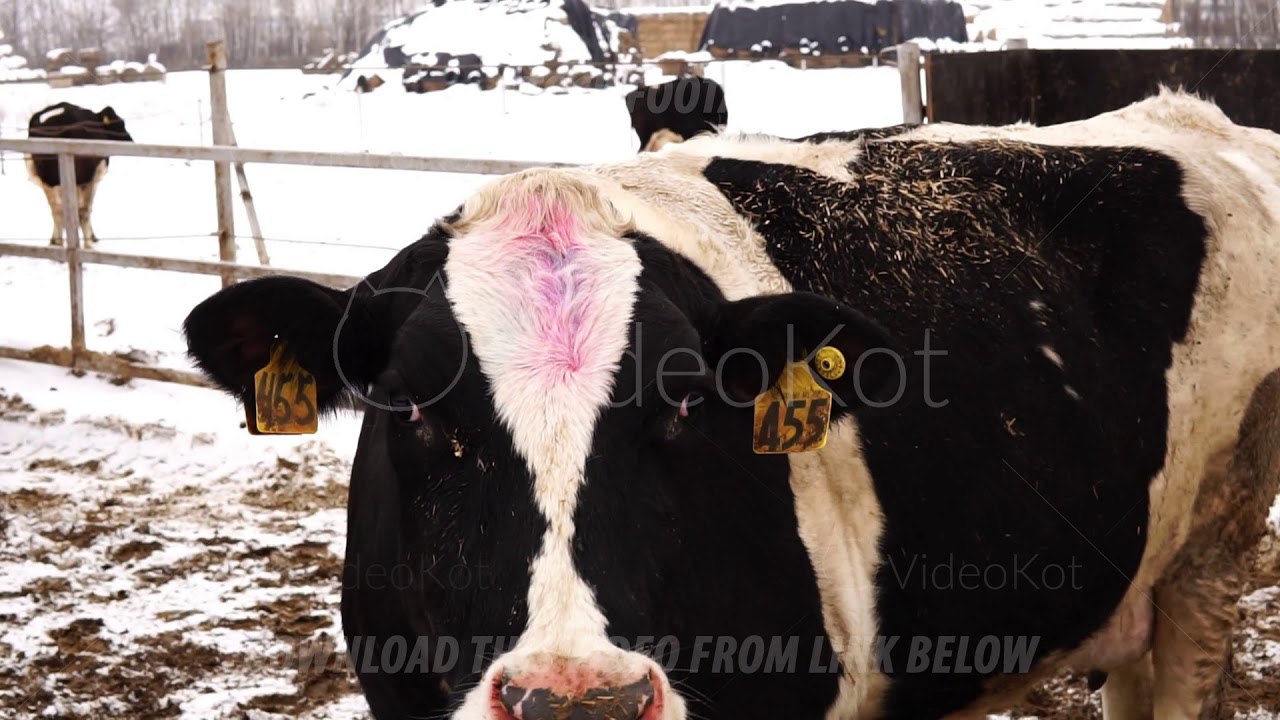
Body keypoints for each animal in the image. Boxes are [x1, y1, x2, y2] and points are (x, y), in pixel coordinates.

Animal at [26, 101, 133, 247]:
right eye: (121, 123)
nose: (131, 139)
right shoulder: (92, 177)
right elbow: (86, 208)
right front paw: (91, 238)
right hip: (81, 178)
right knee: (80, 210)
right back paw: (86, 245)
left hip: (48, 179)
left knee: (56, 210)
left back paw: (56, 243)